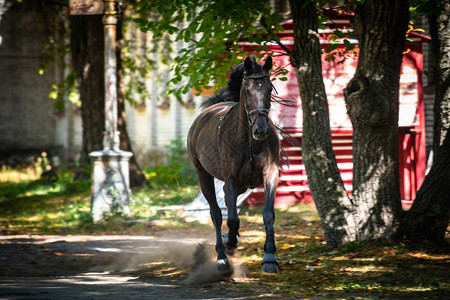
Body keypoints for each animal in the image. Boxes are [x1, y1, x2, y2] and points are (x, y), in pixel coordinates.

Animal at [187, 56, 280, 274]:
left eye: (269, 89)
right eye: (247, 90)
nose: (261, 130)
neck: (249, 140)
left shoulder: (270, 173)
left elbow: (268, 214)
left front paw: (269, 257)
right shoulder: (231, 178)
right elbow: (231, 219)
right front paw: (229, 243)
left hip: (243, 185)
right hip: (204, 175)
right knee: (216, 213)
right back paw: (222, 256)